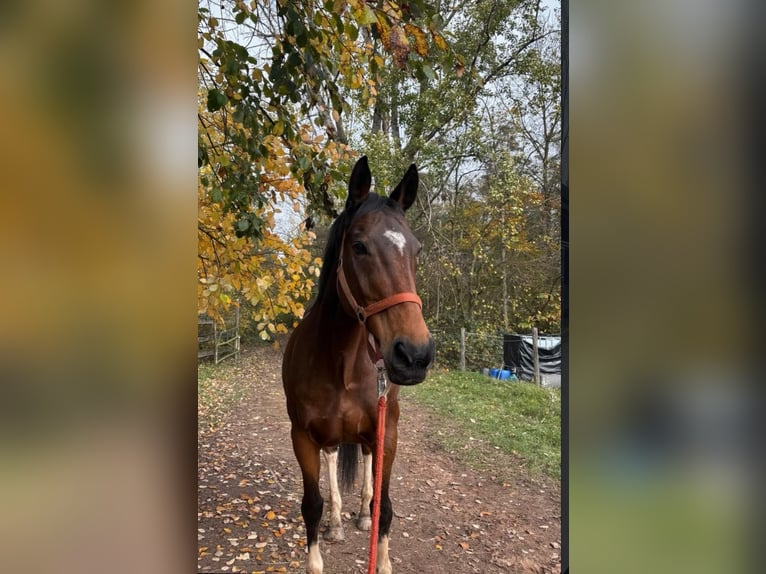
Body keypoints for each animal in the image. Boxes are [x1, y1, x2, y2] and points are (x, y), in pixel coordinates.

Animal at [282, 156, 434, 574]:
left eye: (416, 250)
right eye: (360, 246)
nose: (415, 355)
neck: (344, 366)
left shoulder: (388, 434)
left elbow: (385, 507)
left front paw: (379, 551)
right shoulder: (302, 437)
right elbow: (312, 506)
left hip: (372, 433)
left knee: (366, 468)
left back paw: (362, 514)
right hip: (330, 437)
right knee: (334, 462)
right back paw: (337, 522)